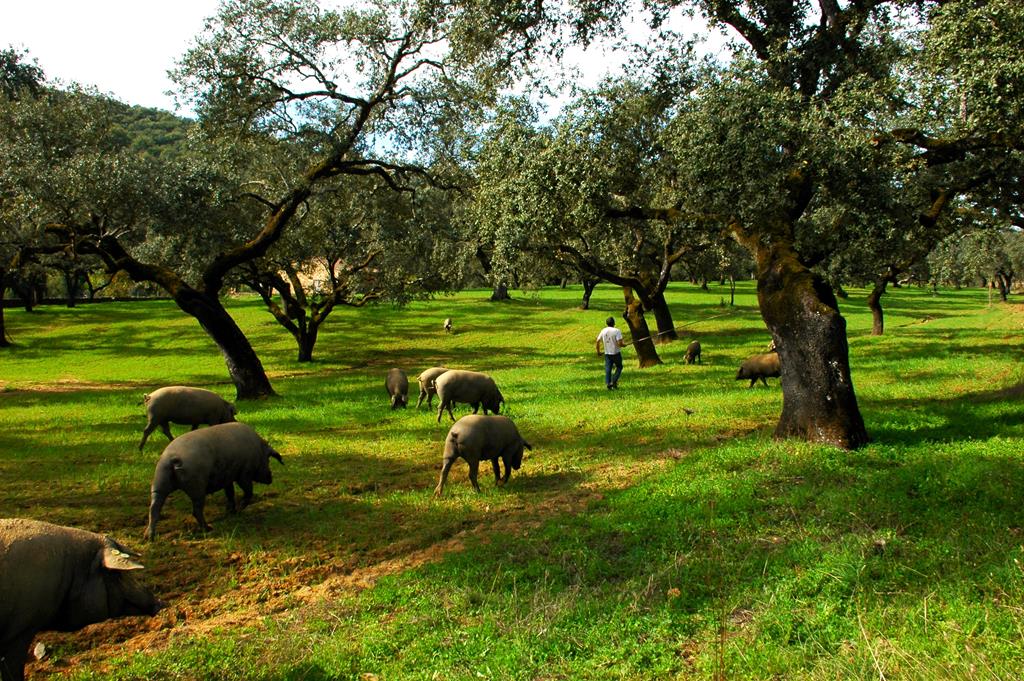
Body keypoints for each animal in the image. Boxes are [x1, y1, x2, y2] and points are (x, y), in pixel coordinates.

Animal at [142, 421, 282, 540]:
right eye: (268, 460)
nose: (270, 478)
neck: (258, 450)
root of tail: (173, 458)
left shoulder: (227, 478)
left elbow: (230, 493)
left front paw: (231, 512)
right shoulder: (244, 474)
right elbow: (248, 492)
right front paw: (239, 510)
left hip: (159, 482)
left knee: (154, 507)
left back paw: (149, 537)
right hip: (197, 487)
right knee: (196, 510)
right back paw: (208, 528)